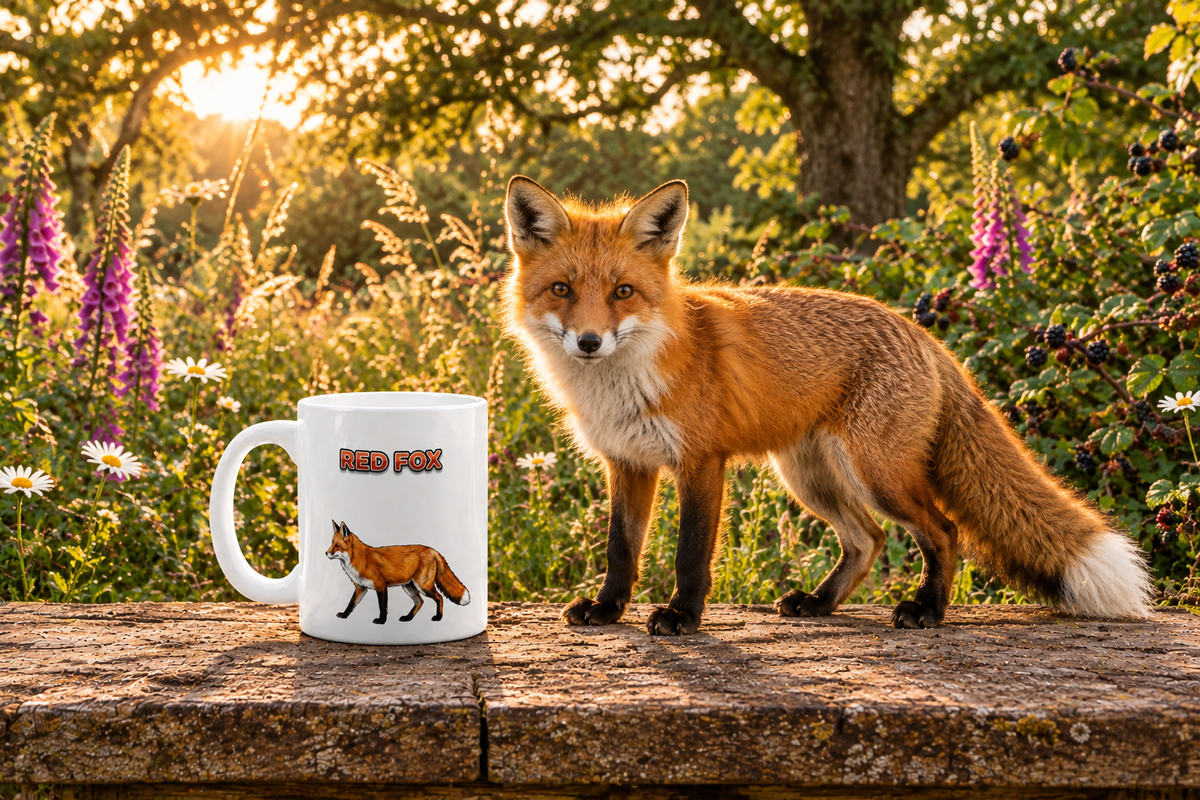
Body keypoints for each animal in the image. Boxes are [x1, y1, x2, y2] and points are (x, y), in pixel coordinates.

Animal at [325, 520, 470, 624]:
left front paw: (381, 621)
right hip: (409, 586)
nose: (326, 553)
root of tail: (432, 549)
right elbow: (351, 604)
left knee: (439, 597)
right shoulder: (360, 588)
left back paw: (438, 617)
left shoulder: (381, 586)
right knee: (420, 602)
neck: (358, 560)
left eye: (336, 545)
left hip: (422, 585)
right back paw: (408, 618)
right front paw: (344, 615)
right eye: (331, 543)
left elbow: (383, 607)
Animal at [500, 174, 1154, 636]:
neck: (629, 378)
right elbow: (621, 551)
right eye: (562, 290)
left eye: (623, 292)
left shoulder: (700, 462)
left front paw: (682, 617)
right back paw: (819, 602)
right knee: (867, 541)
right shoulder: (628, 463)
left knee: (941, 531)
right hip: (811, 477)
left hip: (877, 474)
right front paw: (607, 611)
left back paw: (927, 610)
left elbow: (689, 555)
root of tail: (925, 337)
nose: (589, 342)